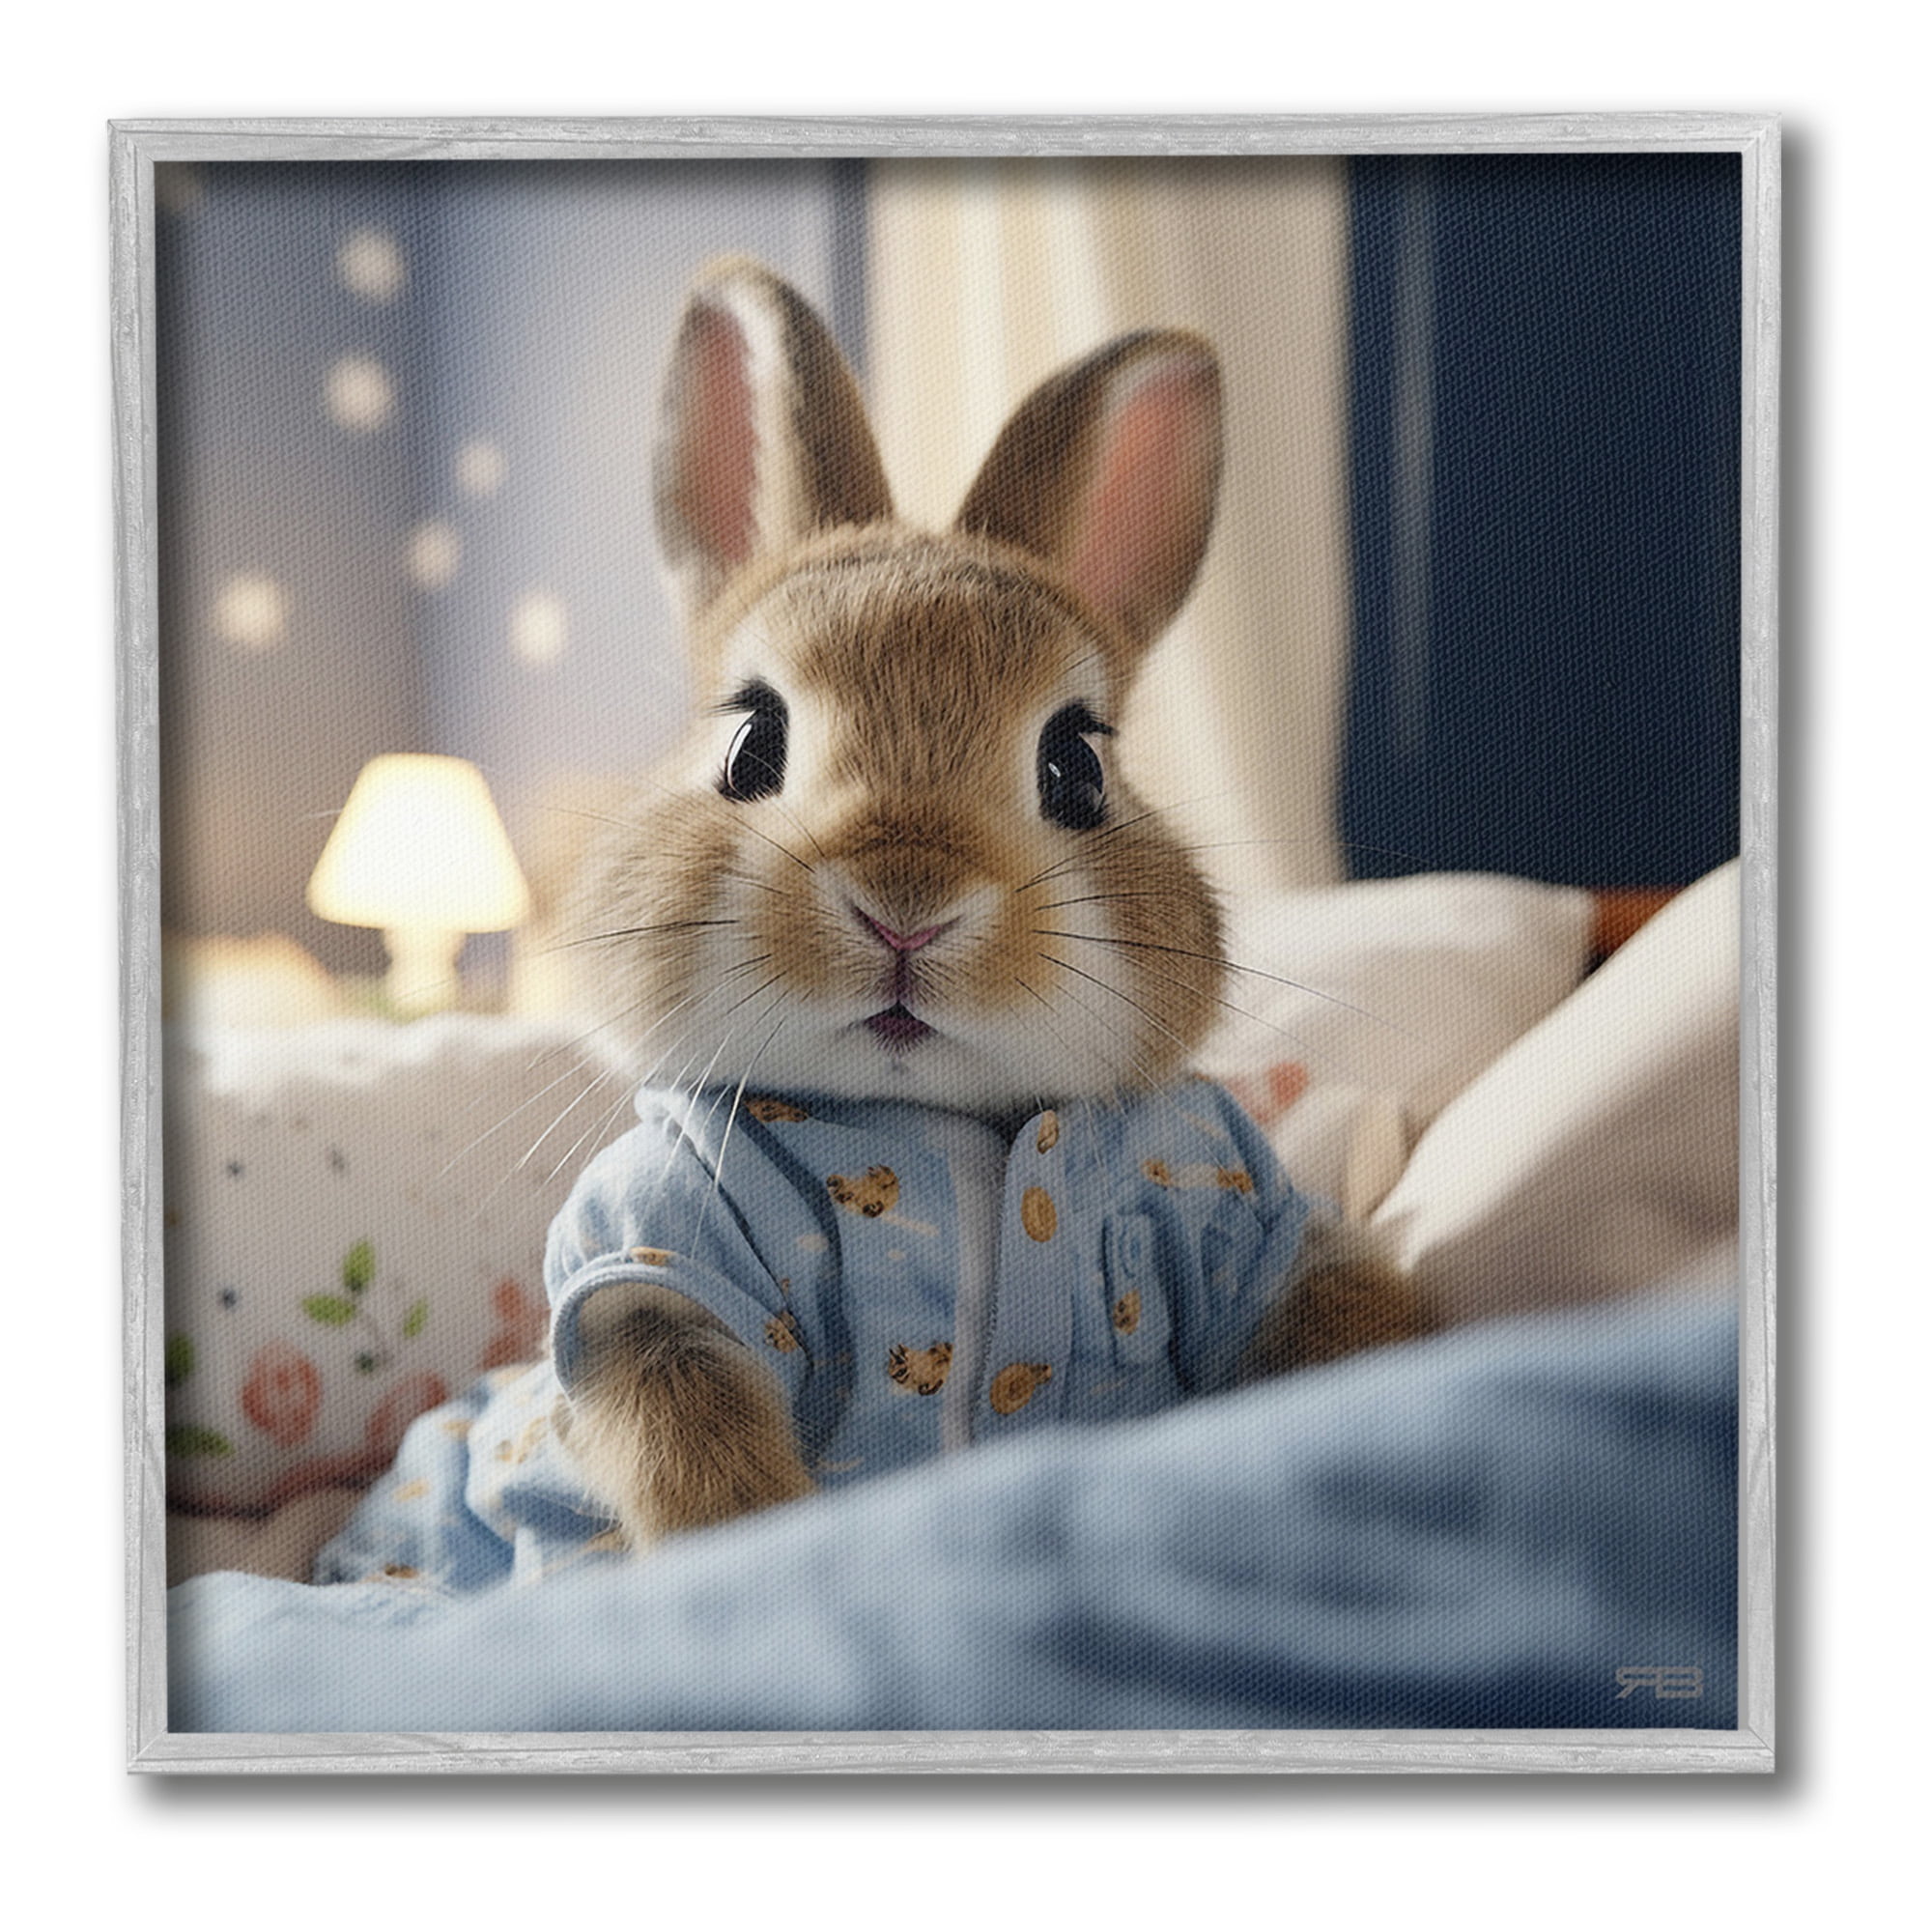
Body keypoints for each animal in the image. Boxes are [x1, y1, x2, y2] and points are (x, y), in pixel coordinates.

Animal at [550, 259, 1430, 1551]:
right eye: (751, 744)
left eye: (1076, 766)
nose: (903, 907)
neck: (944, 1127)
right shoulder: (656, 1255)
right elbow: (683, 1416)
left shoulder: (1252, 1217)